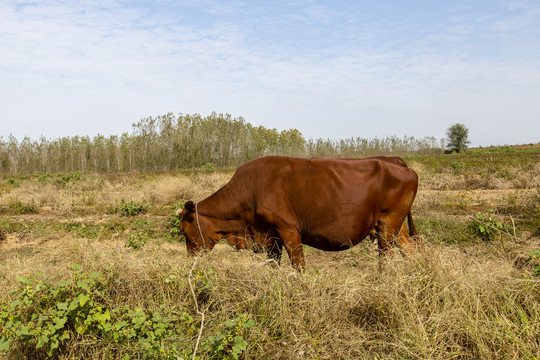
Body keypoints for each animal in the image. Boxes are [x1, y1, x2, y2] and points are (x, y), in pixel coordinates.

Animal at [177, 156, 418, 268]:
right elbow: (274, 266)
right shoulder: (271, 238)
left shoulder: (289, 230)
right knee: (411, 250)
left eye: (183, 230)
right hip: (394, 226)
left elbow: (298, 266)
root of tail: (394, 161)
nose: (189, 259)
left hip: (388, 225)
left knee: (386, 258)